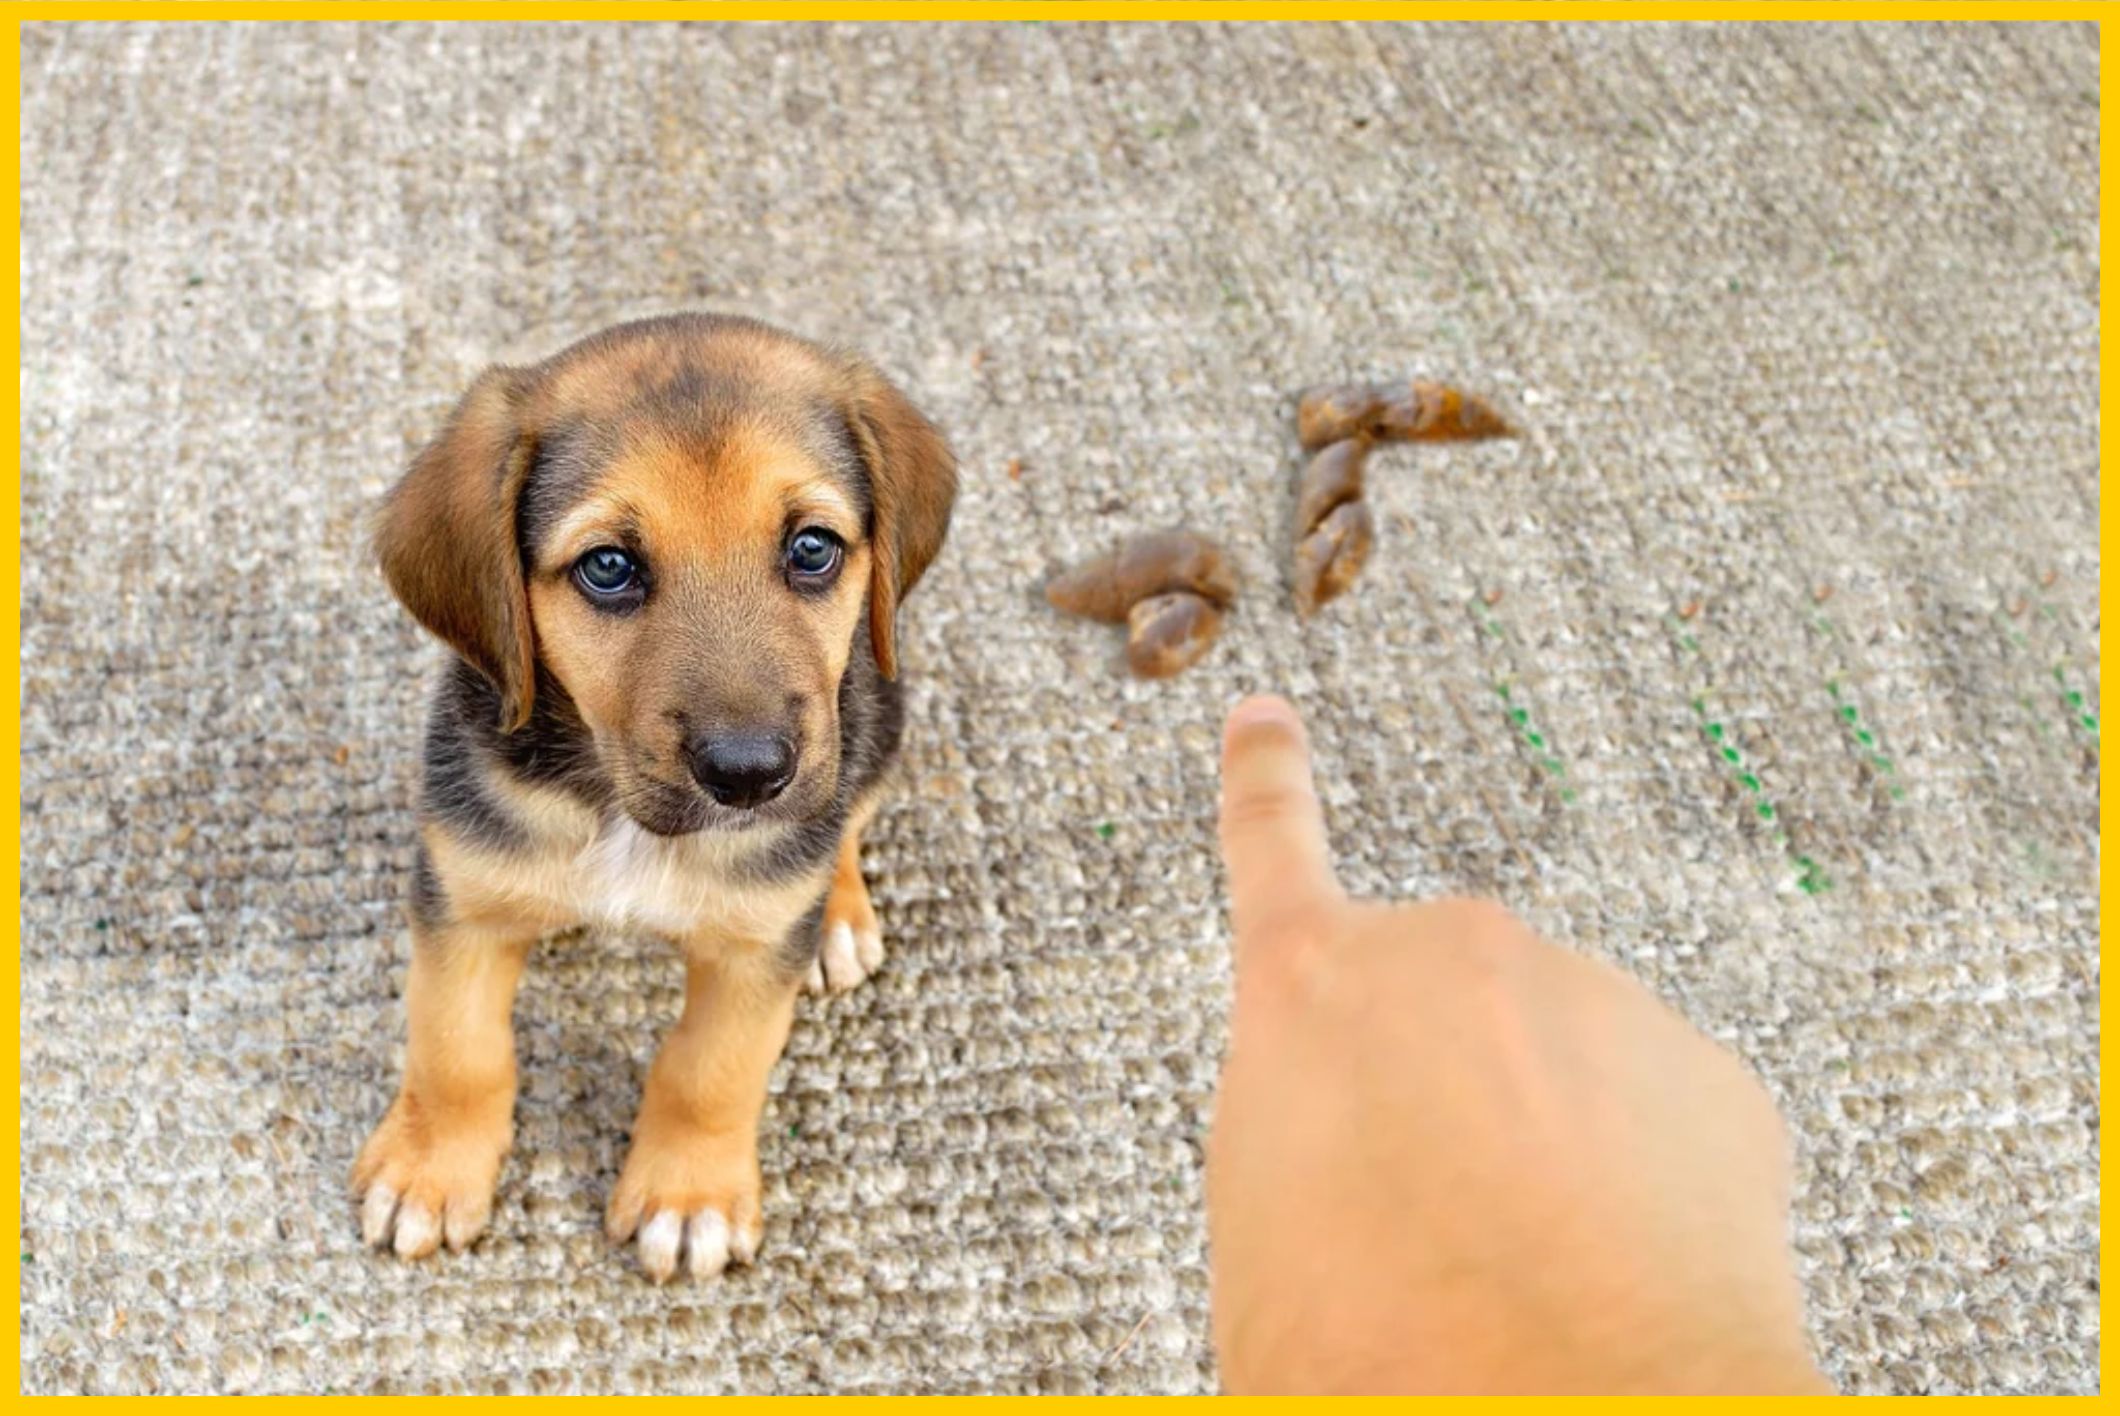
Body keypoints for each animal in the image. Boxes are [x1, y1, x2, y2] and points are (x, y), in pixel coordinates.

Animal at [354, 311, 962, 1280]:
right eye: (608, 566)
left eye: (812, 549)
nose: (750, 775)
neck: (619, 814)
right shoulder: (462, 902)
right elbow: (456, 1052)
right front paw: (429, 1170)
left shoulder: (752, 955)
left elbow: (710, 1071)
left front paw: (688, 1195)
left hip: (878, 721)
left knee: (847, 823)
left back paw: (837, 918)